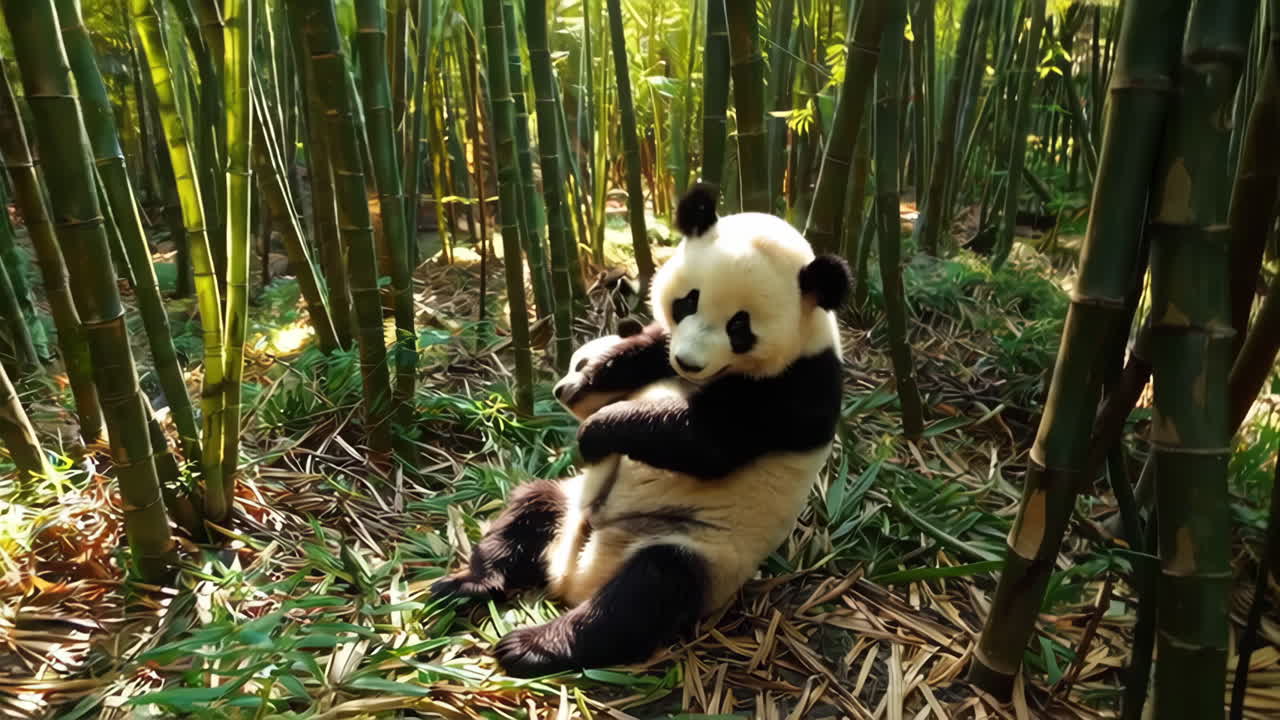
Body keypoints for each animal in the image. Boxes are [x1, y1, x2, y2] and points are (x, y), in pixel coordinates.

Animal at [432, 183, 850, 678]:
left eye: (740, 326)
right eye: (688, 301)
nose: (689, 363)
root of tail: (575, 576)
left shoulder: (798, 387)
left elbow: (705, 442)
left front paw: (595, 434)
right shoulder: (666, 346)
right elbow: (643, 349)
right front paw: (588, 382)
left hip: (702, 549)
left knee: (646, 590)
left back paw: (533, 645)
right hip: (569, 503)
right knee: (528, 507)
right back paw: (468, 583)